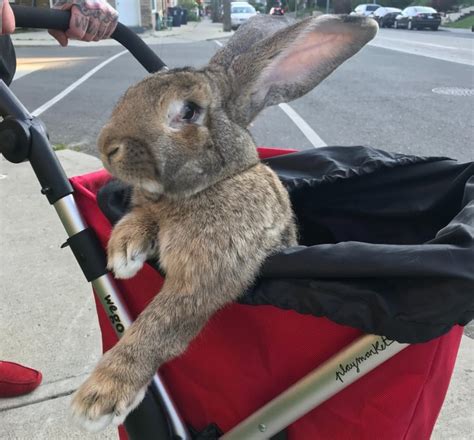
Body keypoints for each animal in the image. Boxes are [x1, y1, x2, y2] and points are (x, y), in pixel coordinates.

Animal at [70, 12, 378, 430]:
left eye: (187, 112)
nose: (107, 147)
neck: (209, 185)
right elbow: (142, 216)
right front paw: (123, 252)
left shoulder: (206, 276)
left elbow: (157, 325)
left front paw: (99, 397)